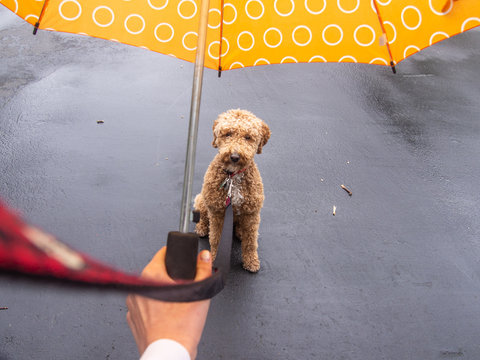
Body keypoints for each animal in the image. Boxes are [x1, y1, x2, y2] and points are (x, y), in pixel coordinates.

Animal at [194, 108, 270, 272]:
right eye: (227, 134)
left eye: (248, 137)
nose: (234, 156)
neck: (232, 177)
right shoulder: (217, 212)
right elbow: (215, 238)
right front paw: (215, 259)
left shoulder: (252, 213)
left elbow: (251, 242)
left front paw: (251, 261)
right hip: (202, 199)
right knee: (203, 216)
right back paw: (201, 227)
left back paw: (240, 231)